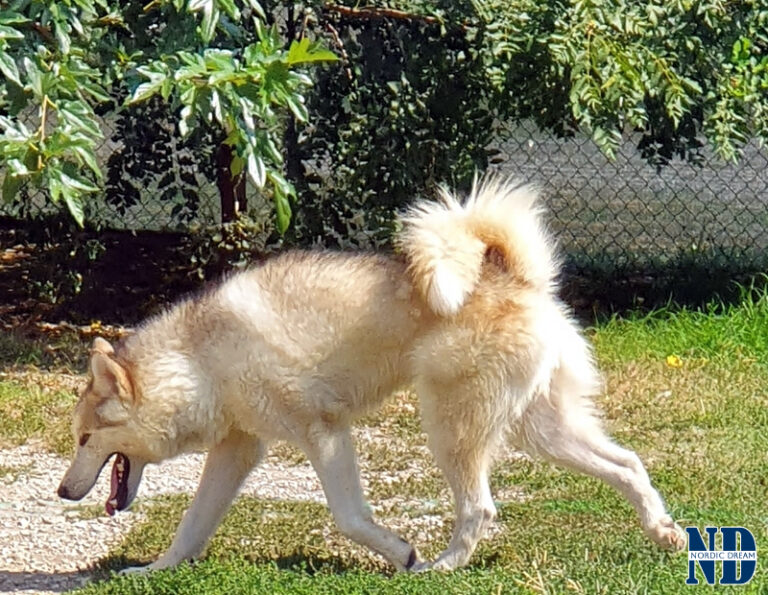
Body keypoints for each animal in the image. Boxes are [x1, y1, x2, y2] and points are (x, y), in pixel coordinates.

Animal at [57, 178, 688, 572]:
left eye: (86, 437)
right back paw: (664, 531)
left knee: (480, 508)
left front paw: (400, 553)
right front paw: (153, 570)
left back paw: (440, 567)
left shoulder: (324, 433)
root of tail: (515, 277)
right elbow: (190, 527)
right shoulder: (237, 451)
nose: (63, 492)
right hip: (543, 432)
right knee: (628, 464)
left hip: (450, 429)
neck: (199, 360)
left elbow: (350, 517)